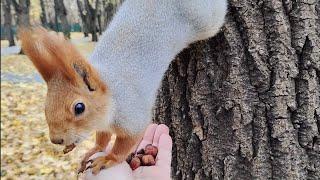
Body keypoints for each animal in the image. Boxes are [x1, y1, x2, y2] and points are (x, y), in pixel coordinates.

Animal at [18, 0, 228, 175]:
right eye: (45, 106)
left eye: (79, 107)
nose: (56, 140)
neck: (111, 92)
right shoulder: (103, 124)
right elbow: (102, 138)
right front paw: (95, 149)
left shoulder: (132, 115)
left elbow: (126, 143)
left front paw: (108, 159)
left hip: (207, 20)